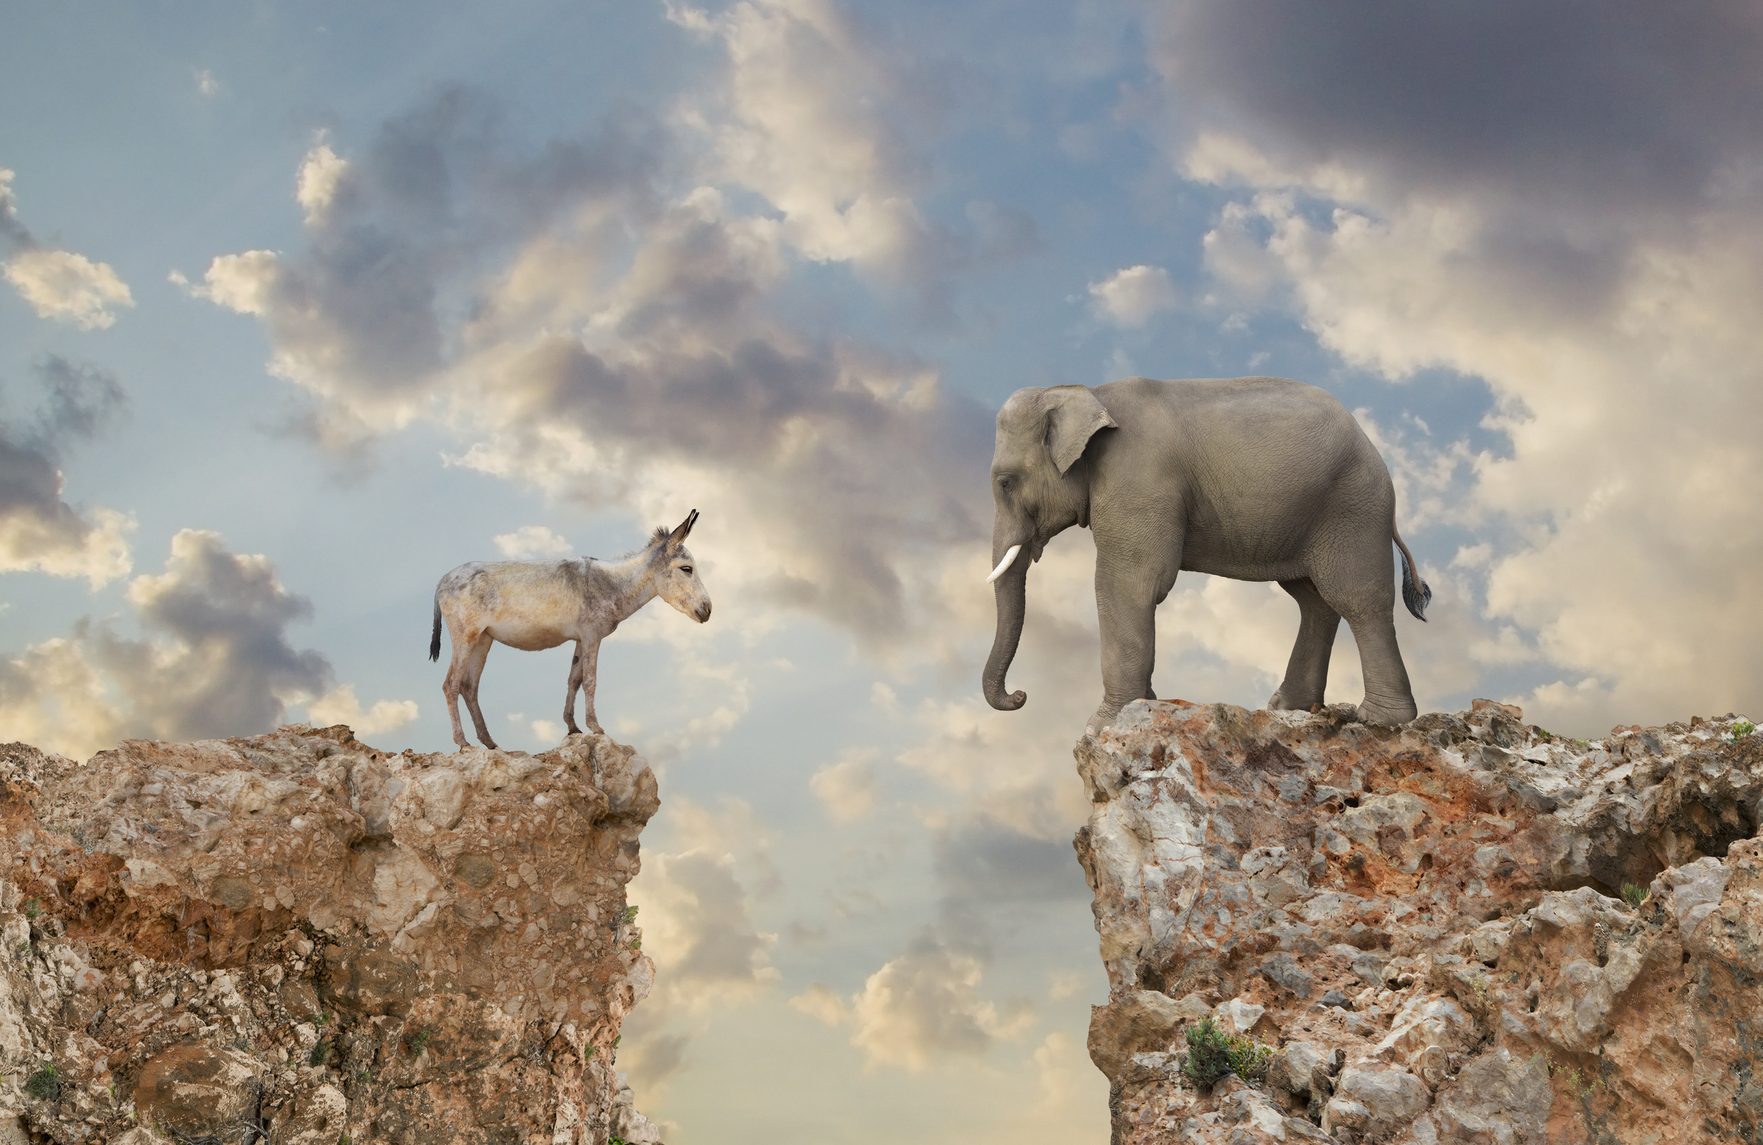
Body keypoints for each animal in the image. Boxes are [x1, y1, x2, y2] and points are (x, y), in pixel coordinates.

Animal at [982, 376, 1431, 729]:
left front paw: (1104, 725)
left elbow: (1131, 585)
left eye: (1005, 482)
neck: (1089, 392)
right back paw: (1289, 709)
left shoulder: (1138, 484)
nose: (1020, 695)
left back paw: (1380, 719)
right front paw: (1144, 706)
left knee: (1357, 599)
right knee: (1313, 600)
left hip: (1352, 509)